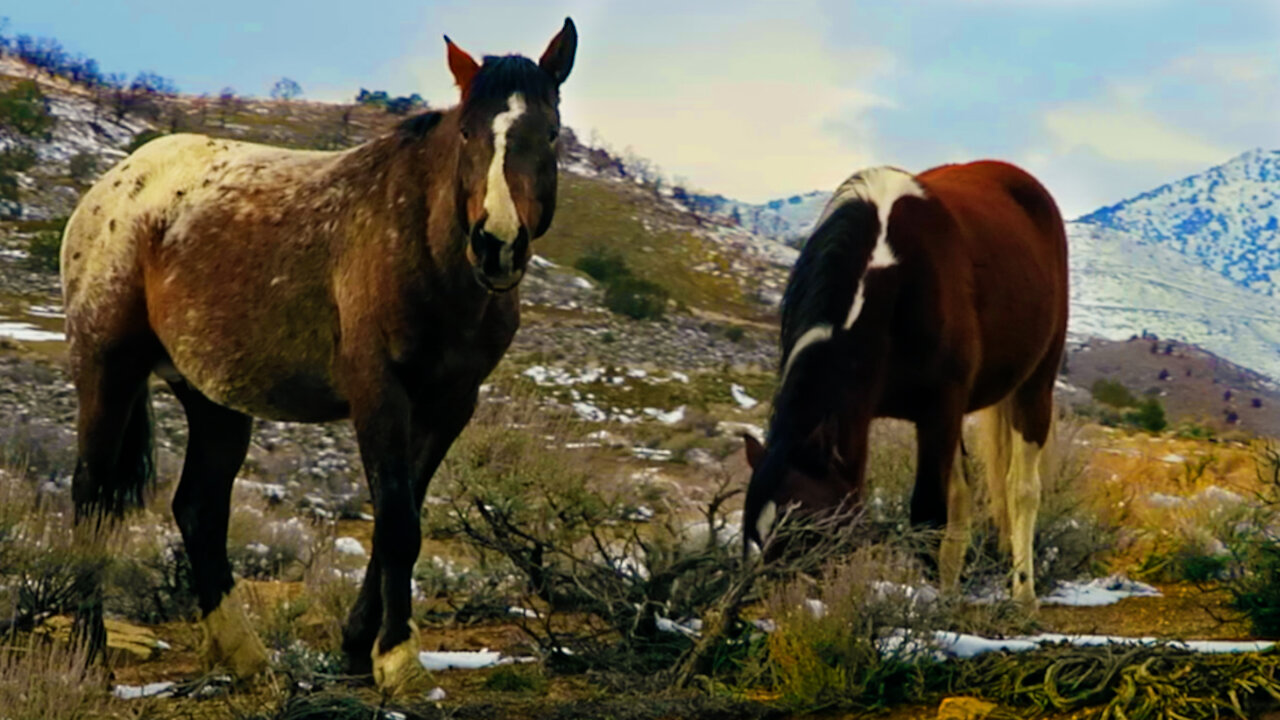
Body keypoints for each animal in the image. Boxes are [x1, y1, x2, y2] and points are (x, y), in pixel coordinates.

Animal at [61, 19, 581, 686]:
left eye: (551, 132)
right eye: (468, 131)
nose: (497, 244)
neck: (423, 245)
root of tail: (116, 183)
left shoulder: (449, 405)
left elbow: (402, 520)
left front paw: (361, 650)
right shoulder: (379, 394)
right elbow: (397, 524)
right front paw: (399, 659)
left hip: (213, 400)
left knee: (199, 509)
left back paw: (247, 658)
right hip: (109, 368)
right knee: (92, 495)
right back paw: (89, 657)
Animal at [742, 159, 1070, 602]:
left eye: (810, 531)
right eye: (755, 538)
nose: (782, 606)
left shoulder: (940, 409)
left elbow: (928, 513)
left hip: (1034, 386)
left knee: (1021, 489)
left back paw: (1023, 593)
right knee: (966, 495)